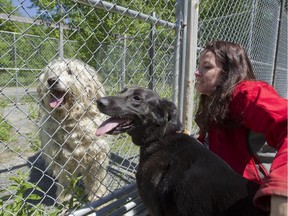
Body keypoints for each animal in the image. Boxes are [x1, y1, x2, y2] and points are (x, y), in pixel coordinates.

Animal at [37, 57, 109, 202]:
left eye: (70, 72)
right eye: (50, 73)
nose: (51, 80)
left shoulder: (97, 155)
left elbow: (96, 179)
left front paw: (97, 195)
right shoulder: (61, 158)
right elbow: (65, 180)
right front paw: (64, 198)